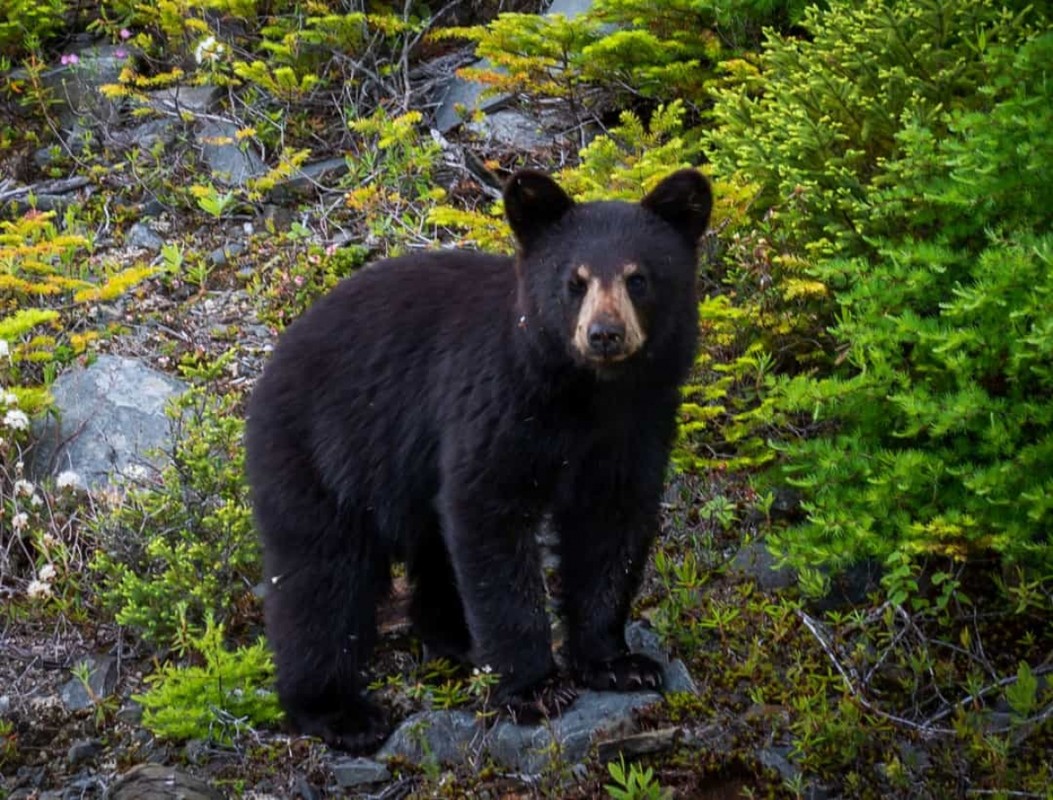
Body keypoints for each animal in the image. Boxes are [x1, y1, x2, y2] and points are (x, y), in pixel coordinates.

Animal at [242, 168, 711, 749]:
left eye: (637, 278)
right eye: (575, 281)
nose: (604, 334)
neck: (585, 394)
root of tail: (274, 359)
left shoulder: (636, 424)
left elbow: (611, 527)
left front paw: (617, 662)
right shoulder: (497, 404)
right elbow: (490, 519)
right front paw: (533, 688)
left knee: (430, 551)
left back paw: (456, 639)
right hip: (320, 455)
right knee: (322, 579)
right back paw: (337, 710)